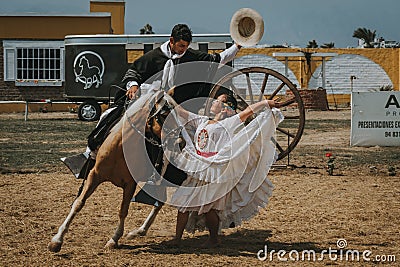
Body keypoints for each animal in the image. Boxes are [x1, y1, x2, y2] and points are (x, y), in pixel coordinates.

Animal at [47, 92, 177, 253]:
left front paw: (114, 239)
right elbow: (79, 203)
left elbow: (123, 210)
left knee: (159, 203)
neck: (120, 147)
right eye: (164, 114)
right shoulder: (94, 175)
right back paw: (140, 231)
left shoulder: (130, 184)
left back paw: (139, 231)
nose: (180, 138)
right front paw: (57, 240)